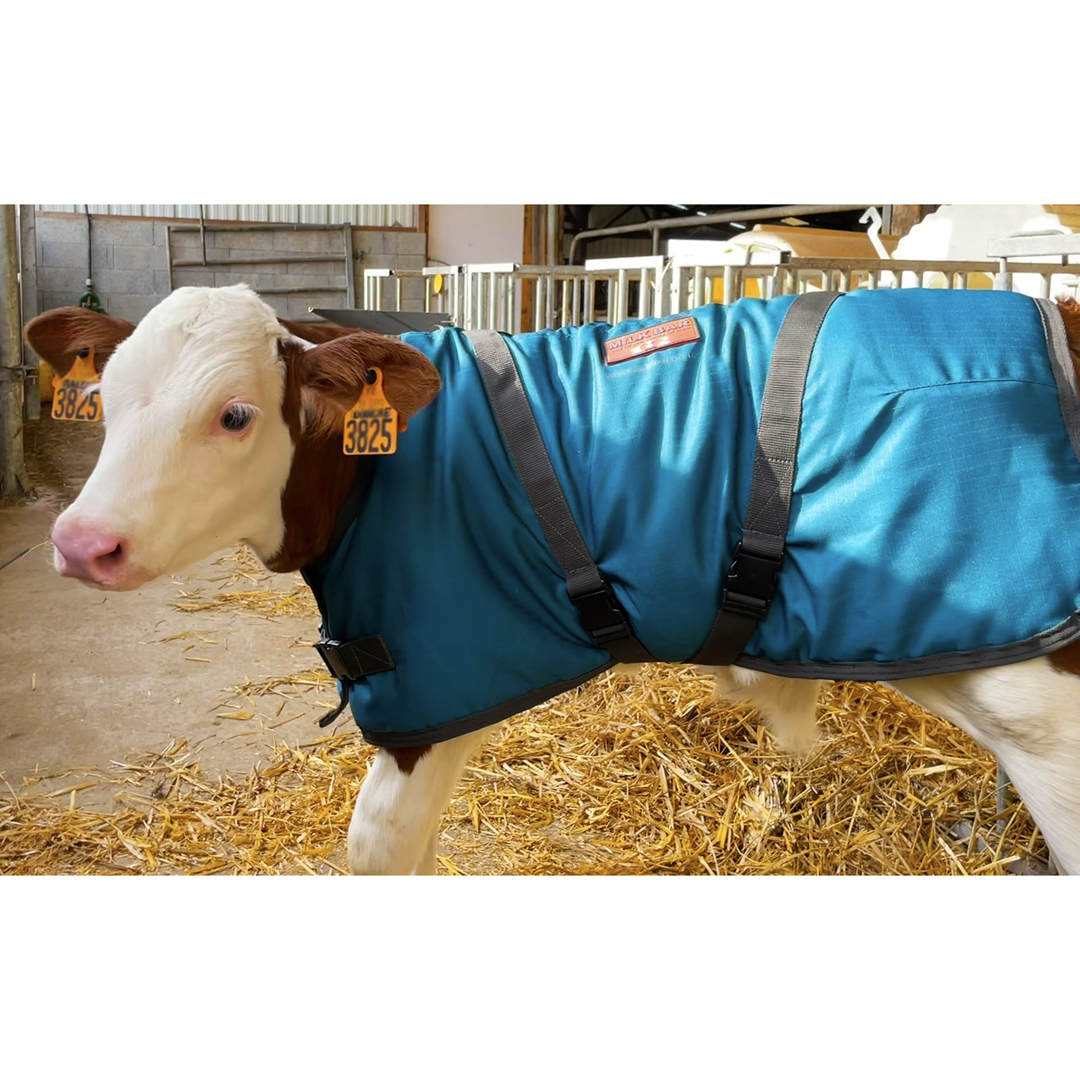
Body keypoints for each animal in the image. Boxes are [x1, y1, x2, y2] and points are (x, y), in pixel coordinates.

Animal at [24, 284, 1080, 875]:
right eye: (106, 398)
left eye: (236, 414)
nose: (81, 541)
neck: (380, 473)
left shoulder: (423, 690)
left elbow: (376, 852)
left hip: (1038, 702)